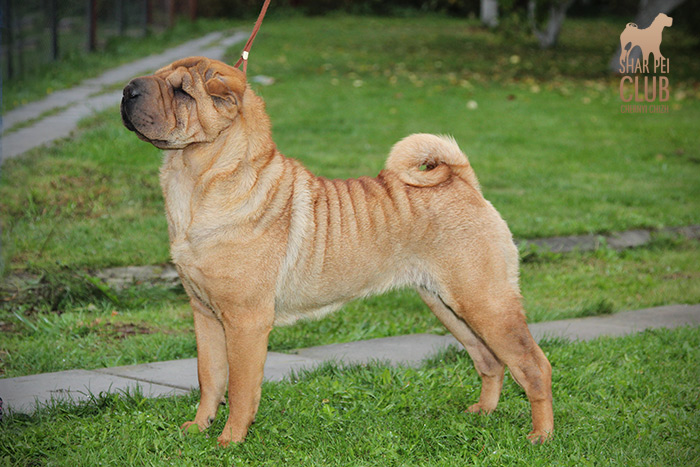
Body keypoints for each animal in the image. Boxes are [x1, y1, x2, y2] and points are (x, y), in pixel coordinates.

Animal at [121, 56, 553, 446]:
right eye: (157, 77)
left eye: (181, 91)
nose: (127, 89)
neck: (193, 181)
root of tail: (463, 181)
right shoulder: (205, 313)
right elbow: (210, 378)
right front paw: (198, 429)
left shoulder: (246, 321)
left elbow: (242, 389)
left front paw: (229, 441)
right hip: (448, 305)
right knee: (489, 360)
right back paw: (482, 413)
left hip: (485, 303)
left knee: (534, 364)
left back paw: (540, 435)